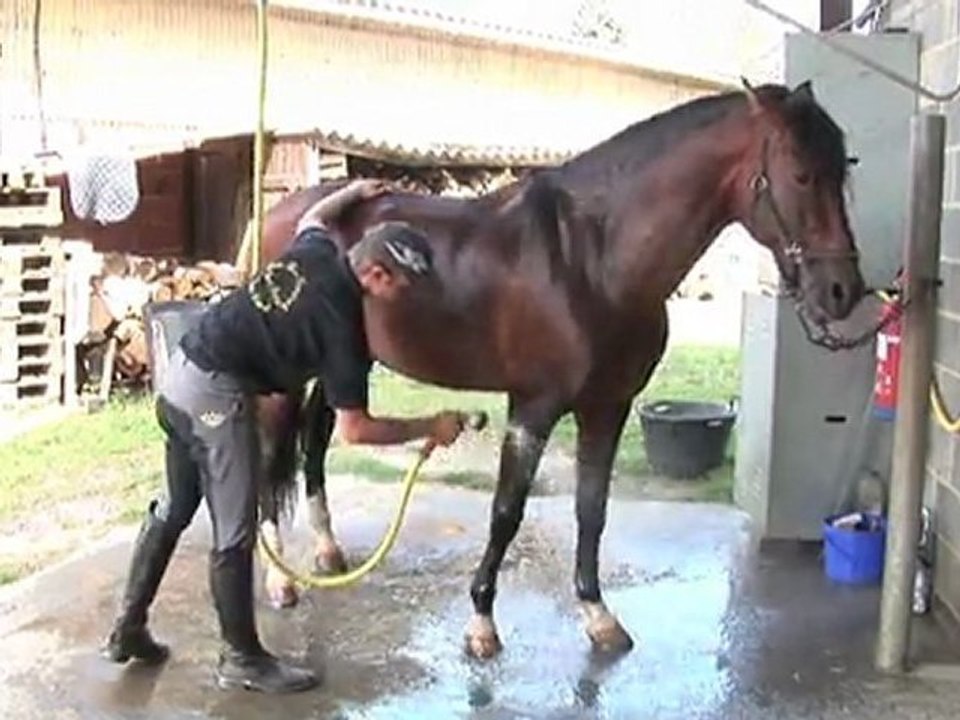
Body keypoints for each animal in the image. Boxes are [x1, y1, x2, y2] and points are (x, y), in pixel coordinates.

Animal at [253, 80, 865, 658]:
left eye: (844, 168)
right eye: (801, 174)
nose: (843, 292)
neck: (590, 261)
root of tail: (290, 217)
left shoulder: (609, 406)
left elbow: (591, 510)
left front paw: (598, 616)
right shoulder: (535, 406)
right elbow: (506, 511)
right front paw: (481, 623)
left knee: (314, 442)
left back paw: (327, 551)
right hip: (287, 377)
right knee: (270, 454)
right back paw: (281, 581)